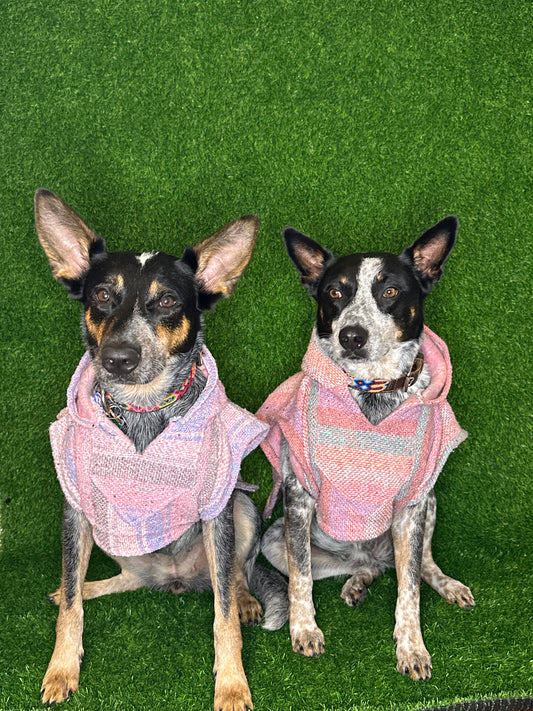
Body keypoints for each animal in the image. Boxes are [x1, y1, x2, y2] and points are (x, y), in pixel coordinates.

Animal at [35, 191, 286, 711]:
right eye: (101, 296)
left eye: (167, 301)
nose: (117, 357)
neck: (144, 410)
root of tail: (176, 580)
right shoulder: (76, 508)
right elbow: (70, 608)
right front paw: (62, 668)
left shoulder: (217, 507)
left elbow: (223, 618)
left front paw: (232, 685)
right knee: (121, 580)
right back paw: (90, 585)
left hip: (242, 507)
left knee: (234, 575)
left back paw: (247, 599)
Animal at [258, 218, 474, 684]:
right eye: (335, 293)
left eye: (390, 291)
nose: (351, 336)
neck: (371, 390)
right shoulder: (298, 497)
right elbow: (301, 579)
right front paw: (304, 630)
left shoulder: (412, 504)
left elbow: (410, 589)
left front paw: (412, 648)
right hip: (274, 541)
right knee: (357, 568)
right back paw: (357, 582)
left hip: (431, 502)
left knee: (420, 565)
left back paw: (446, 584)